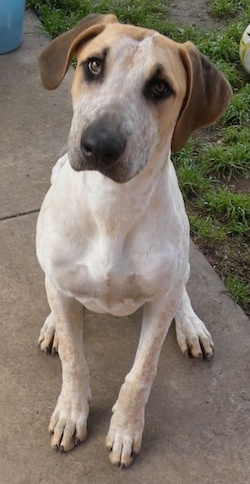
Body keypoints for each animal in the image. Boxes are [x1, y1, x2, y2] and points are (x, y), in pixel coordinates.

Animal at [36, 13, 232, 466]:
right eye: (93, 65)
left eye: (160, 87)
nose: (98, 145)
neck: (112, 206)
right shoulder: (61, 279)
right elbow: (74, 359)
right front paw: (71, 413)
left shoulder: (160, 301)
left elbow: (141, 373)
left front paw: (125, 430)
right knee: (57, 294)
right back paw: (54, 321)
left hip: (181, 261)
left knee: (183, 290)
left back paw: (190, 326)